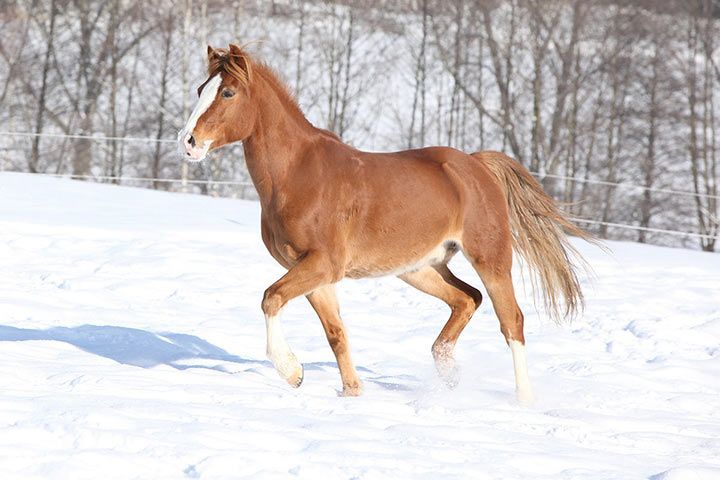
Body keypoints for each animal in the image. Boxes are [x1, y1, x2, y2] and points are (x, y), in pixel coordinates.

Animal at [176, 44, 592, 402]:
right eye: (200, 89)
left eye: (227, 92)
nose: (188, 142)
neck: (298, 175)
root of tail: (476, 165)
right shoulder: (312, 272)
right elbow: (335, 333)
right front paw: (351, 392)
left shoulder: (322, 264)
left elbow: (271, 298)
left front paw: (292, 372)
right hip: (420, 268)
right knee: (467, 299)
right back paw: (446, 375)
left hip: (490, 258)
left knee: (512, 321)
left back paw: (523, 400)